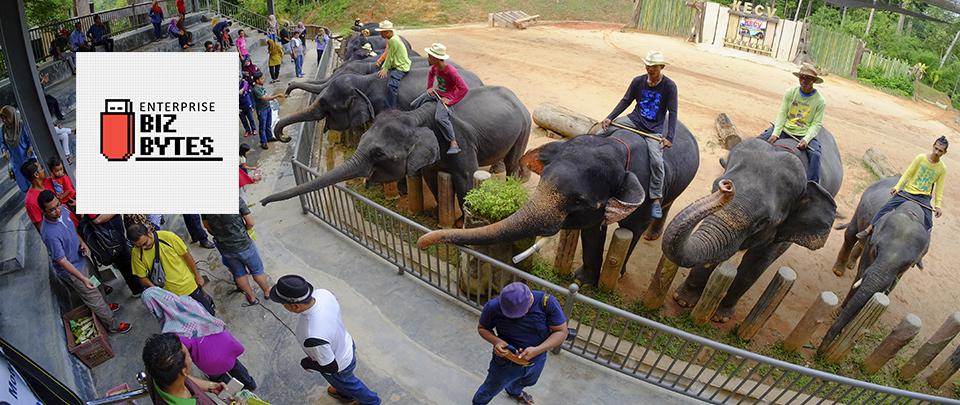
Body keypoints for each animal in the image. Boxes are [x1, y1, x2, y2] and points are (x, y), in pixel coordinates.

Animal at [262, 87, 532, 210]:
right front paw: (437, 213)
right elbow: (431, 177)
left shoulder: (460, 143)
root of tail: (517, 97)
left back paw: (513, 183)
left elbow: (466, 180)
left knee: (512, 162)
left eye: (378, 154)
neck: (417, 117)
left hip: (524, 128)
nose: (263, 203)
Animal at [416, 123, 700, 284]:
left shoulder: (645, 191)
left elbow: (631, 229)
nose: (422, 242)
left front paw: (612, 277)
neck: (617, 149)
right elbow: (592, 232)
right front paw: (583, 280)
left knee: (664, 206)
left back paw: (651, 236)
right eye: (542, 180)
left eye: (579, 200)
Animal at [660, 133, 840, 322]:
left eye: (763, 222)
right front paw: (683, 300)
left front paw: (721, 317)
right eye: (714, 187)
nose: (727, 186)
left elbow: (754, 265)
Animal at [816, 176, 928, 350]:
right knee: (851, 235)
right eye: (876, 250)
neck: (910, 214)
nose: (820, 351)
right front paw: (840, 312)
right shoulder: (872, 235)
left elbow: (893, 283)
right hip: (860, 207)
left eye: (907, 264)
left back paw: (850, 264)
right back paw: (839, 269)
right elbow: (862, 271)